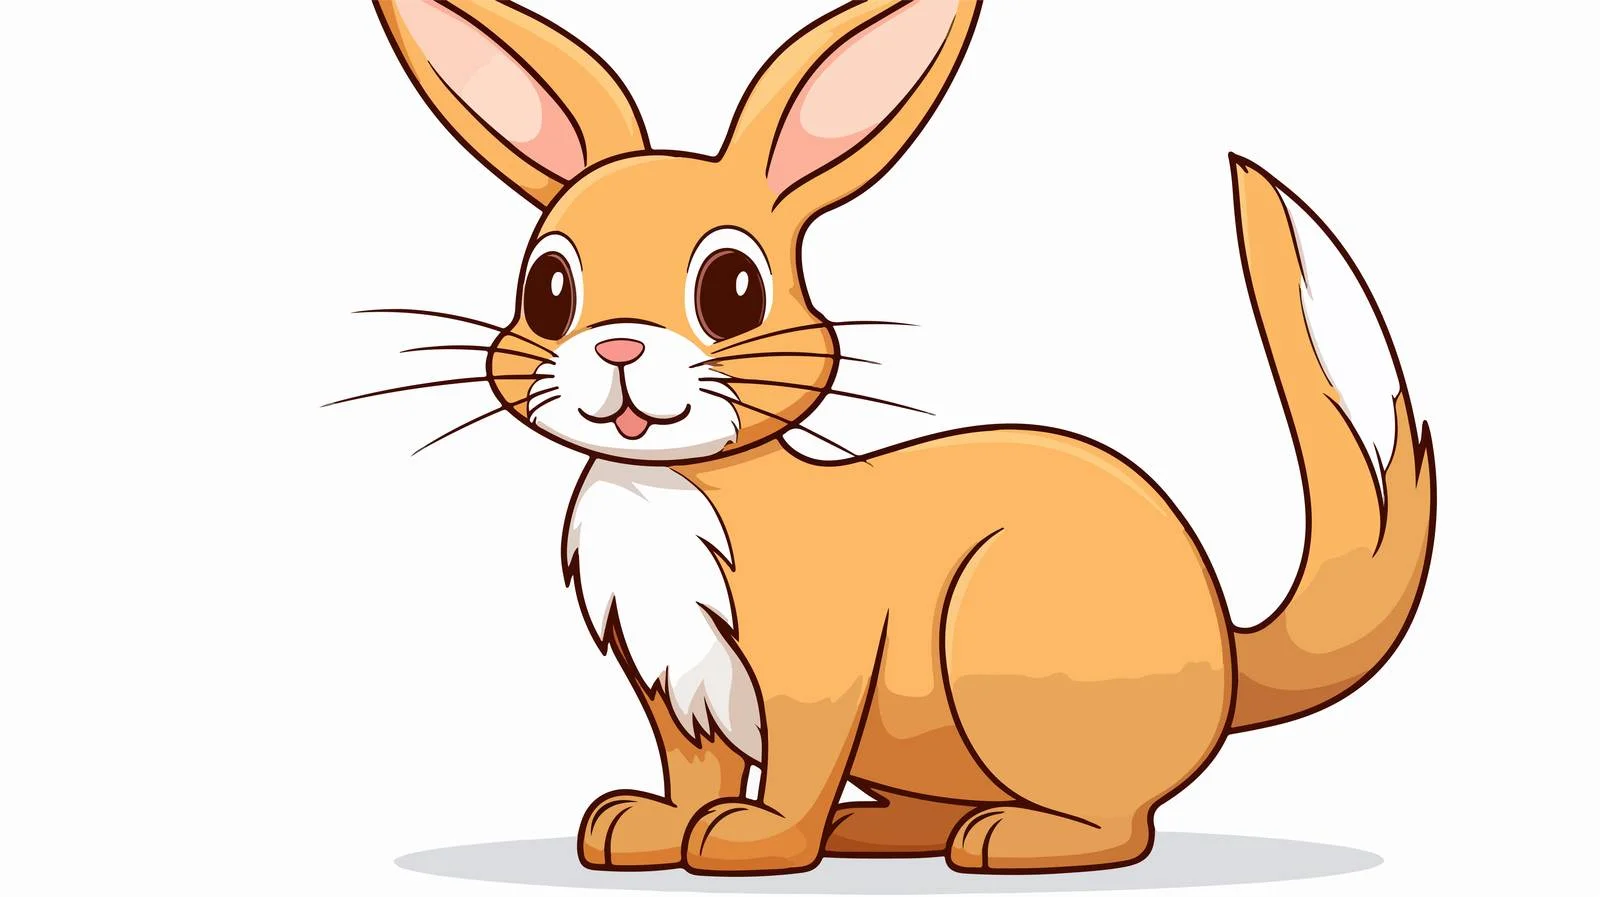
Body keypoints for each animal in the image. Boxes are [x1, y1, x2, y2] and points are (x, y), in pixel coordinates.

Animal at [362, 0, 1436, 876]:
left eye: (732, 290)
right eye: (548, 288)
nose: (618, 347)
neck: (672, 486)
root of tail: (1227, 652)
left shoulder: (811, 667)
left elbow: (795, 763)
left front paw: (750, 841)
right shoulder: (672, 678)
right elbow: (693, 764)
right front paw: (651, 828)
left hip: (1000, 645)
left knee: (1122, 823)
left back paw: (1014, 839)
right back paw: (882, 830)